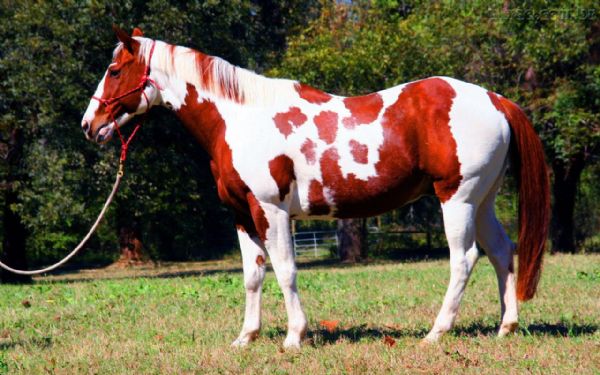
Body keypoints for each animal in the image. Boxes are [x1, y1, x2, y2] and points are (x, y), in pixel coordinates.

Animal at [82, 26, 552, 350]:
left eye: (114, 70)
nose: (89, 125)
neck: (239, 119)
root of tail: (494, 98)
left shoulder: (271, 211)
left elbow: (285, 270)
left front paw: (295, 336)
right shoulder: (241, 215)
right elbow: (253, 275)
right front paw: (246, 337)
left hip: (457, 198)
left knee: (464, 259)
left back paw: (437, 332)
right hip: (483, 201)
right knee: (501, 251)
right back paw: (505, 327)